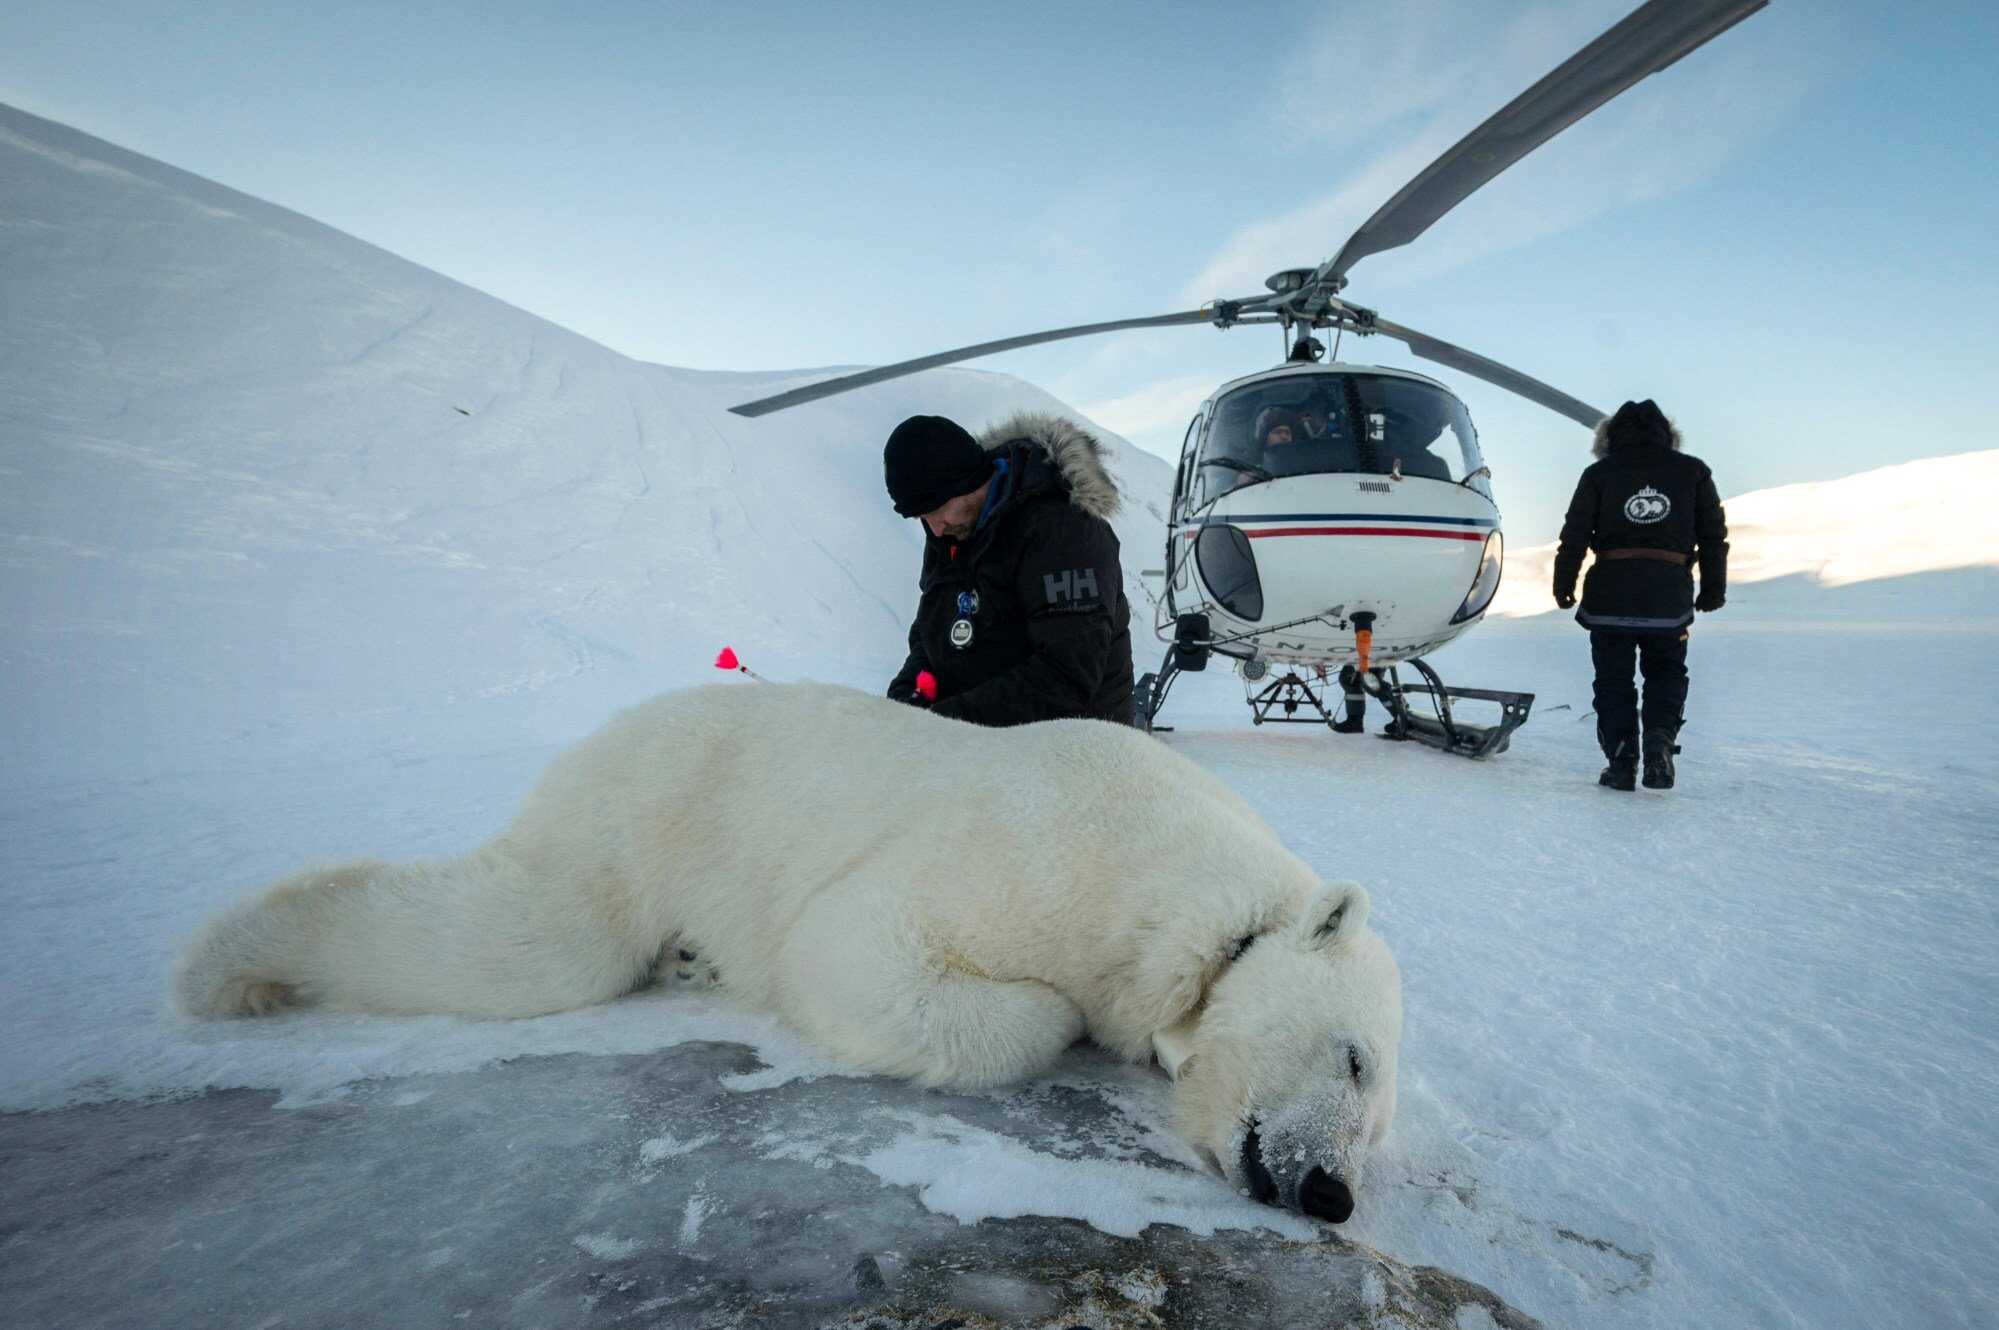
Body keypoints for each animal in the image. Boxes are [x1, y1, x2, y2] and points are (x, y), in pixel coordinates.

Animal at [172, 683, 1402, 1222]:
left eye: (1378, 1125)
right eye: (1352, 1059)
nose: (1333, 1193)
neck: (1190, 892)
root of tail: (613, 727)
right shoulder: (1044, 858)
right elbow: (857, 947)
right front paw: (1061, 1022)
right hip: (647, 813)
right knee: (532, 940)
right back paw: (231, 960)